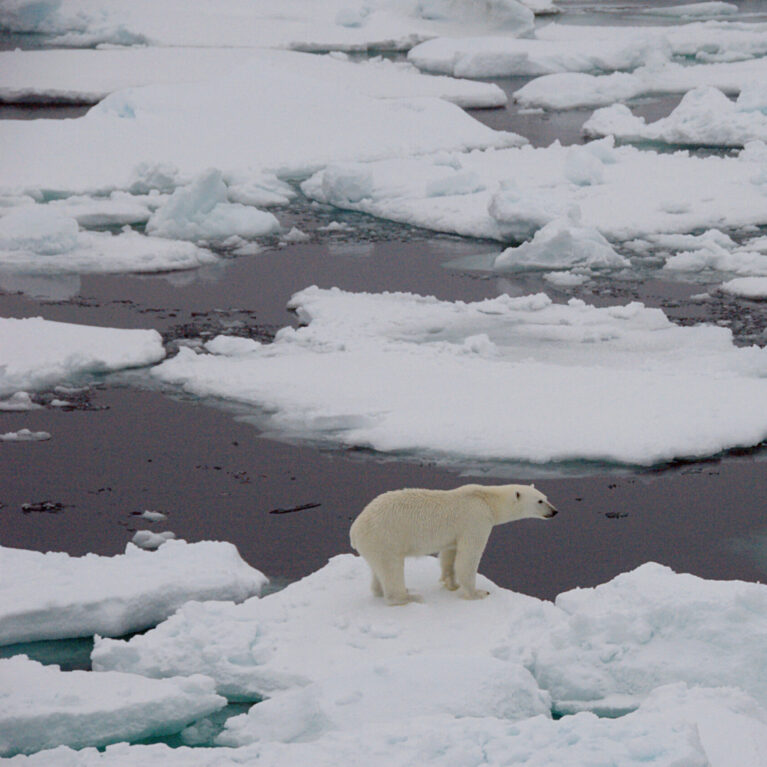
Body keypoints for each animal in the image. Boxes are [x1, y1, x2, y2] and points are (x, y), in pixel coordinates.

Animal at [349, 483, 558, 605]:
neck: (487, 499)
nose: (555, 511)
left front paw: (451, 584)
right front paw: (478, 593)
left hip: (376, 543)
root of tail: (355, 529)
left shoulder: (455, 534)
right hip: (385, 537)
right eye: (540, 501)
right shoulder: (476, 520)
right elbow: (469, 557)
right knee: (392, 568)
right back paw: (408, 596)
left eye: (546, 497)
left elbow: (450, 554)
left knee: (378, 569)